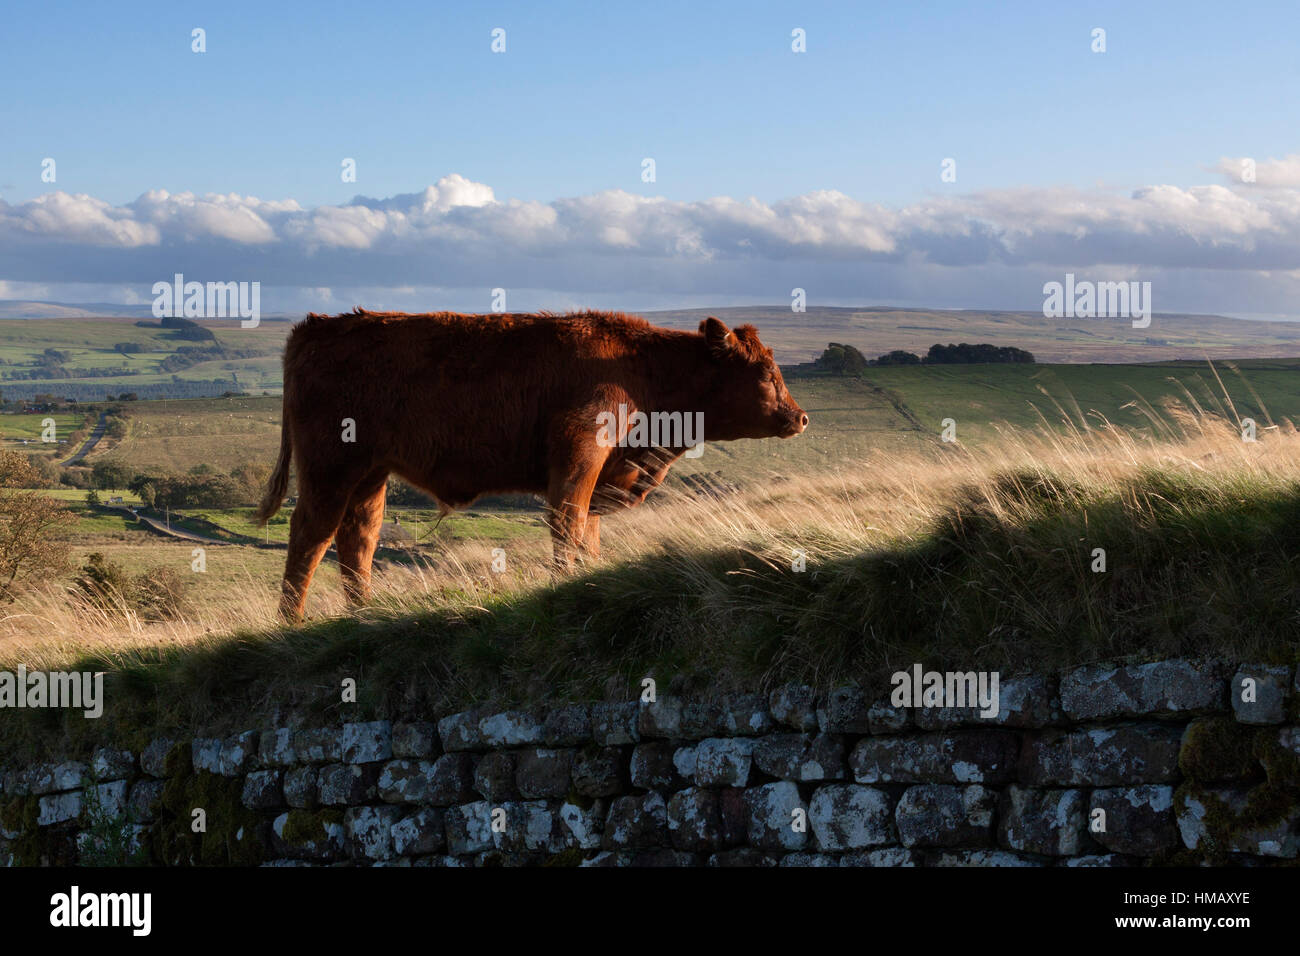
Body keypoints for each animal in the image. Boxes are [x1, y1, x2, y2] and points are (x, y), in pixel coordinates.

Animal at [254, 310, 806, 624]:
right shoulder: (579, 457)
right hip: (330, 471)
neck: (642, 368)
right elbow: (568, 523)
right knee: (311, 536)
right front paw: (565, 582)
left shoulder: (599, 474)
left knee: (358, 539)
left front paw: (588, 574)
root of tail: (316, 327)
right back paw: (291, 623)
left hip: (371, 475)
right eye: (765, 372)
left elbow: (588, 532)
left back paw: (361, 615)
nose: (799, 417)